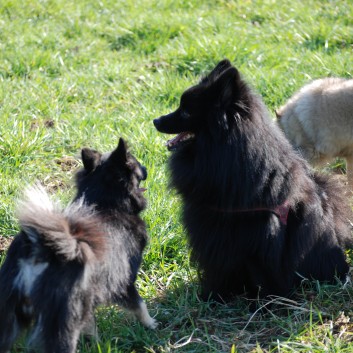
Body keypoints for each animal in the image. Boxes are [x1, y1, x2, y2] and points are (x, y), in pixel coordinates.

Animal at [0, 138, 157, 352]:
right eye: (135, 162)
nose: (147, 166)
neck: (103, 201)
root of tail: (39, 251)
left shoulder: (89, 297)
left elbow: (90, 324)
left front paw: (95, 343)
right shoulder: (124, 280)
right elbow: (139, 304)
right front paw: (150, 323)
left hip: (10, 312)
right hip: (63, 319)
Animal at [153, 59, 352, 302]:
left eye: (186, 112)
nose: (156, 120)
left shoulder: (259, 237)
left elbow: (260, 274)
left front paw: (263, 302)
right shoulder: (212, 232)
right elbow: (216, 269)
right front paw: (213, 297)